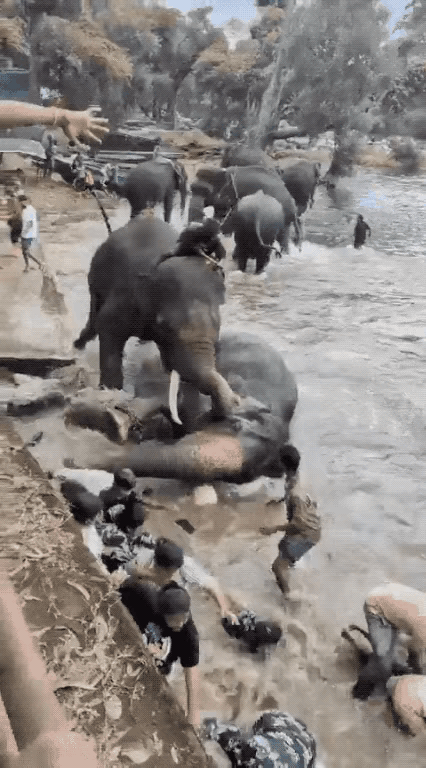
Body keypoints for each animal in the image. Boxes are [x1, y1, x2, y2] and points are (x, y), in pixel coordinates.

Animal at [73, 217, 239, 420]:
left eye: (218, 330)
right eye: (165, 326)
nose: (236, 400)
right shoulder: (125, 298)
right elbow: (108, 329)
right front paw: (111, 392)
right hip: (96, 274)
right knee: (94, 311)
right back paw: (78, 344)